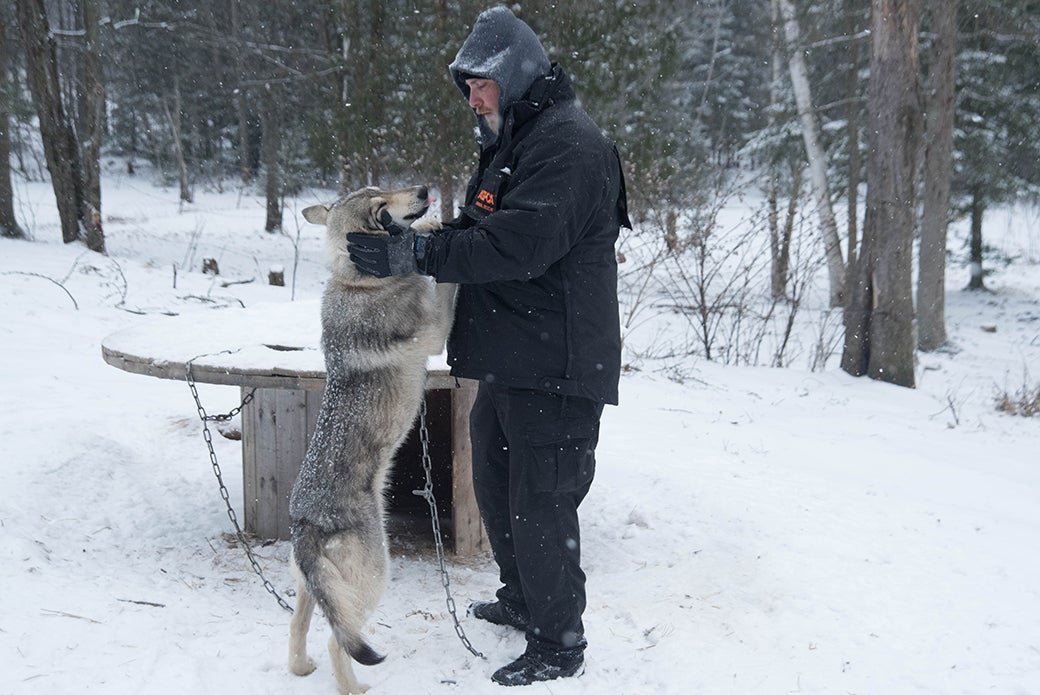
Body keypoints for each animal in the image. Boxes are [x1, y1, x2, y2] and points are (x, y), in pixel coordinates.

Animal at [288, 185, 456, 694]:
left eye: (384, 187)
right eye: (380, 207)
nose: (425, 189)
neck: (361, 281)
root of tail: (304, 525)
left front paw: (431, 227)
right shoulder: (434, 332)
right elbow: (445, 282)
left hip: (313, 588)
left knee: (299, 629)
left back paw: (301, 669)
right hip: (375, 579)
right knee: (336, 641)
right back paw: (355, 688)